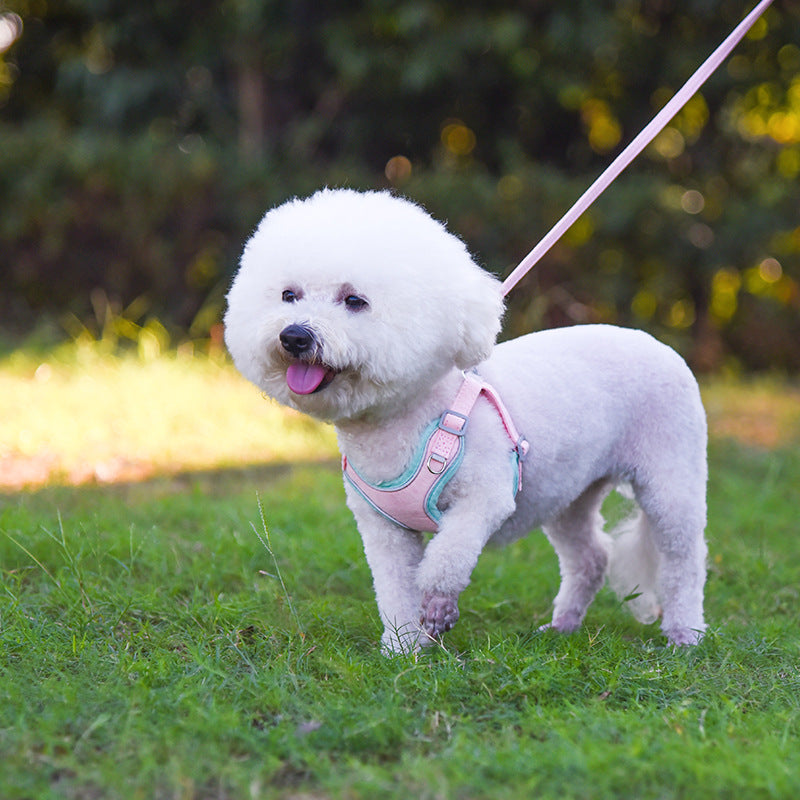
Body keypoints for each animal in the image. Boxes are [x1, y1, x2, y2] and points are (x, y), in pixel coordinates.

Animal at [225, 191, 708, 652]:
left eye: (355, 301)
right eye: (289, 295)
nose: (295, 336)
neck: (408, 417)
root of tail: (658, 344)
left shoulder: (485, 499)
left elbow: (445, 560)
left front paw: (438, 611)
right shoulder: (383, 529)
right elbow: (395, 588)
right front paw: (403, 648)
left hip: (671, 477)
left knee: (684, 560)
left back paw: (685, 634)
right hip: (569, 493)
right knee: (590, 557)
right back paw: (562, 626)